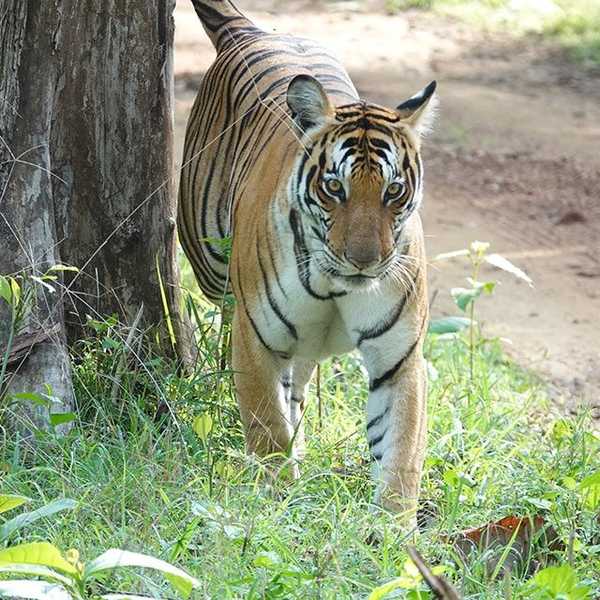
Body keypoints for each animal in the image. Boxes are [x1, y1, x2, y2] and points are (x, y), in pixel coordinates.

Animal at [178, 0, 436, 516]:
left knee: (297, 384)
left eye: (394, 191)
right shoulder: (256, 338)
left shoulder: (399, 358)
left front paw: (393, 529)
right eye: (334, 187)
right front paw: (276, 505)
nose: (363, 260)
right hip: (210, 265)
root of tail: (249, 30)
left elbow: (401, 452)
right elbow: (268, 429)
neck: (336, 285)